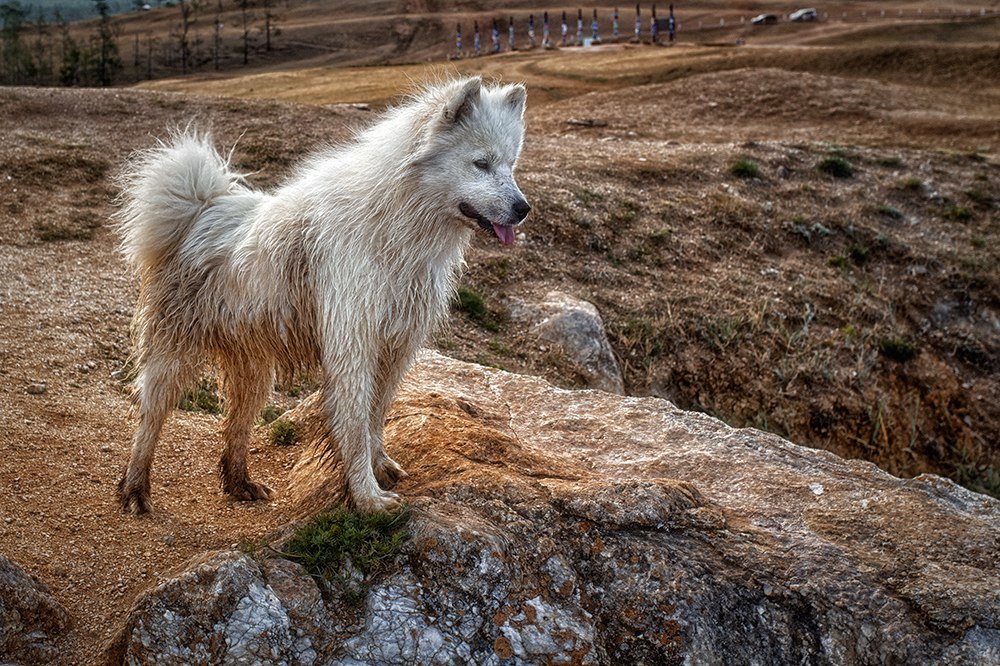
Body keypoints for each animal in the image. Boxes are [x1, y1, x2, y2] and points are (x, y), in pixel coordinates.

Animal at [115, 78, 532, 512]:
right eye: (481, 163)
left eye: (510, 165)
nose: (524, 208)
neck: (397, 225)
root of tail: (201, 206)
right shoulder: (353, 342)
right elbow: (355, 423)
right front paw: (367, 497)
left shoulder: (396, 345)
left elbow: (377, 414)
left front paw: (379, 465)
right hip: (174, 355)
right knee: (150, 418)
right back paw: (136, 489)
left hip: (254, 370)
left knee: (237, 425)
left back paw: (240, 482)